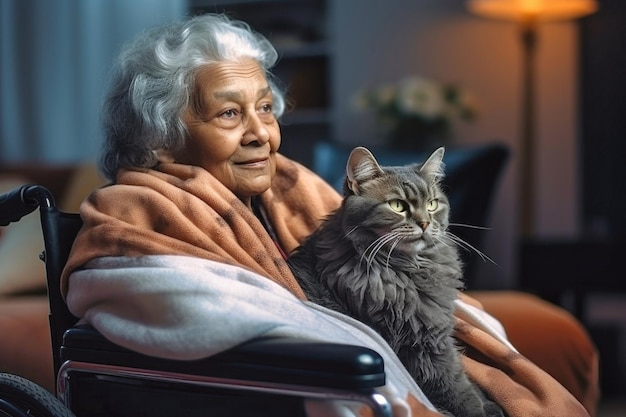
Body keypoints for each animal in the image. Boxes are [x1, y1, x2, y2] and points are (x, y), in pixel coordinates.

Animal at [288, 146, 502, 416]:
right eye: (398, 206)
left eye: (432, 204)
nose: (425, 223)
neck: (407, 268)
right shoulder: (428, 342)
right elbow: (457, 387)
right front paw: (479, 409)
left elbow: (466, 383)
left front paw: (489, 404)